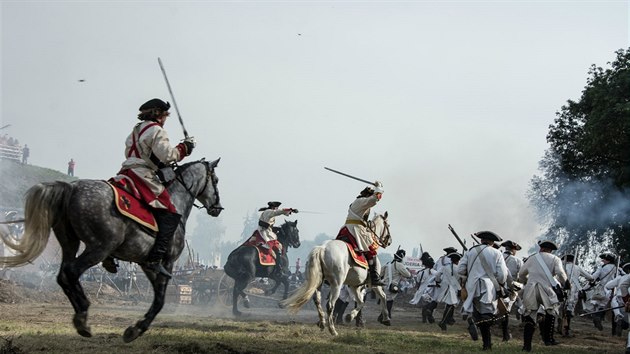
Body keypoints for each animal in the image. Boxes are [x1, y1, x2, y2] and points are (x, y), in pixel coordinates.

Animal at [0, 159, 222, 342]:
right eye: (216, 180)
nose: (218, 208)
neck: (175, 201)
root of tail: (71, 187)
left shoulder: (148, 264)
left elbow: (159, 298)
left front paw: (136, 328)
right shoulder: (166, 263)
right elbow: (160, 300)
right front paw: (137, 328)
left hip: (70, 243)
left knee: (63, 274)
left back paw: (81, 315)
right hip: (99, 247)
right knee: (71, 271)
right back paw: (83, 314)